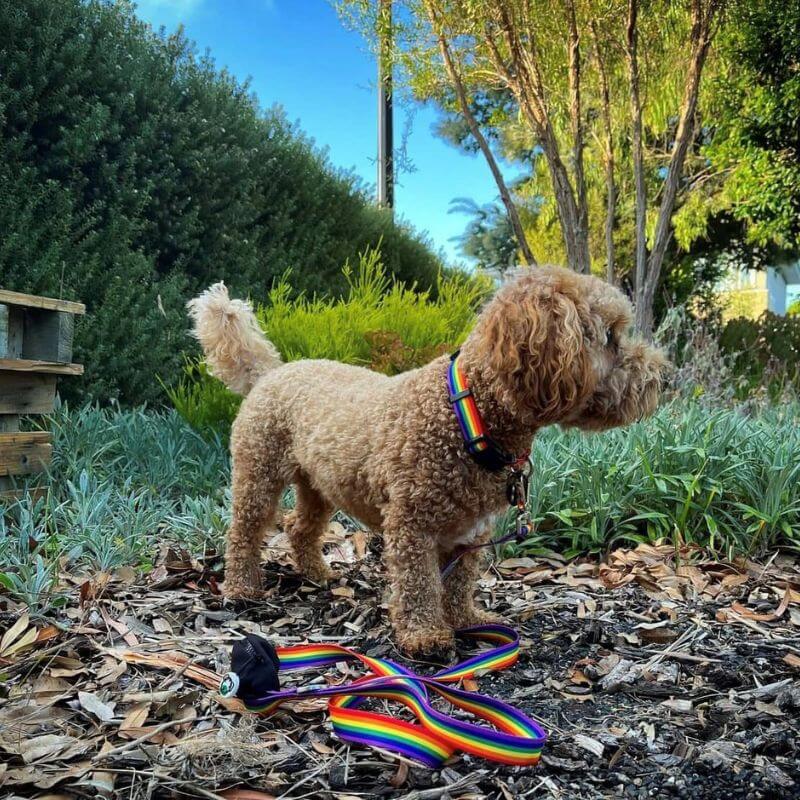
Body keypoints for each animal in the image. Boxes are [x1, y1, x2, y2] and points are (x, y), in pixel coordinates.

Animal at [191, 268, 664, 656]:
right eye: (610, 336)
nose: (664, 375)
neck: (467, 414)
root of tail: (270, 371)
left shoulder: (470, 532)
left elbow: (457, 583)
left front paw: (466, 620)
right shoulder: (411, 525)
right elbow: (419, 584)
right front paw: (426, 636)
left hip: (319, 483)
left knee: (298, 527)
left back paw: (317, 573)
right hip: (258, 471)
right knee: (244, 532)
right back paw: (242, 588)